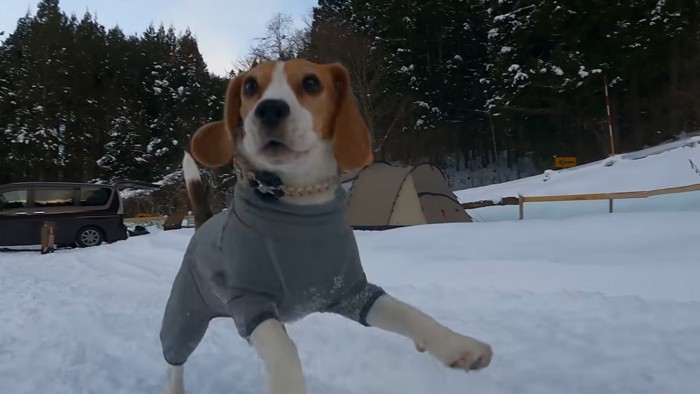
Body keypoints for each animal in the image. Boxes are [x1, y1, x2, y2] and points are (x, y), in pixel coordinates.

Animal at [159, 59, 492, 394]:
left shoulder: (352, 292)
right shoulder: (249, 304)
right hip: (185, 311)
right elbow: (283, 350)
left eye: (311, 83)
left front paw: (458, 346)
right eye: (250, 86)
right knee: (174, 361)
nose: (269, 109)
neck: (301, 206)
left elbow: (409, 313)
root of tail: (203, 224)